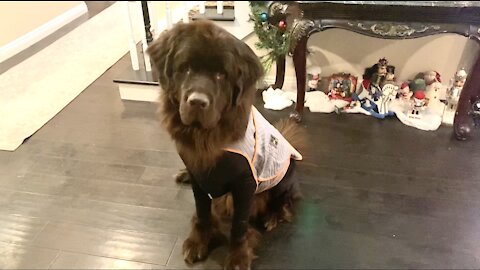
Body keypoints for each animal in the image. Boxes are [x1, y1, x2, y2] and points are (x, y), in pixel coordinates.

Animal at [147, 20, 308, 268]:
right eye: (186, 68)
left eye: (221, 75)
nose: (197, 102)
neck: (206, 136)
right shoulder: (198, 176)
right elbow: (202, 212)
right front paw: (199, 241)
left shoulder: (244, 184)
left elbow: (238, 226)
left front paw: (238, 257)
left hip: (285, 175)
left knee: (286, 201)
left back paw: (273, 216)